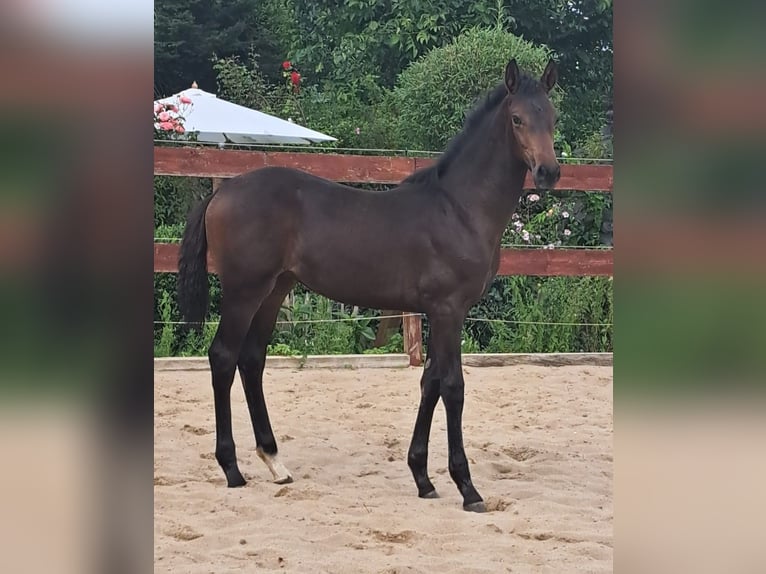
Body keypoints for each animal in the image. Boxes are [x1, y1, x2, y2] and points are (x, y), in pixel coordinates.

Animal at [180, 60, 564, 516]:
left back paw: (274, 462)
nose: (548, 172)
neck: (458, 208)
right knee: (223, 357)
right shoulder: (448, 310)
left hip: (274, 290)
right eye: (517, 118)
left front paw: (422, 477)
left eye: (552, 117)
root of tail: (222, 193)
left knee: (252, 360)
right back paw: (232, 468)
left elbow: (430, 382)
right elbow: (452, 387)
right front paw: (467, 488)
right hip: (244, 290)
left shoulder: (440, 312)